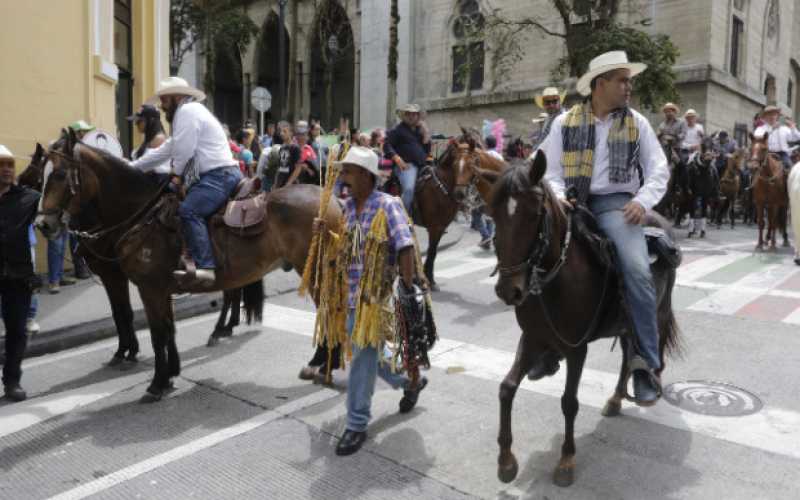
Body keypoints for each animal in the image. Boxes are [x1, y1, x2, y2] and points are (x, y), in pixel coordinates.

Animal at [36, 130, 342, 402]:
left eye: (59, 174)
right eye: (40, 174)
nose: (43, 224)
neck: (142, 218)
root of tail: (333, 201)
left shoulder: (147, 287)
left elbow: (156, 333)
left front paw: (156, 383)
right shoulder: (160, 289)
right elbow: (167, 328)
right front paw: (170, 374)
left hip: (314, 271)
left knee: (328, 311)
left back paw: (319, 362)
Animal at [484, 153, 680, 488]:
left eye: (534, 214)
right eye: (494, 213)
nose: (509, 290)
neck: (556, 279)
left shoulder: (577, 349)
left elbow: (569, 402)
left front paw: (566, 461)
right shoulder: (532, 338)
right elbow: (506, 388)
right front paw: (506, 461)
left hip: (657, 311)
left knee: (650, 351)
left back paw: (645, 386)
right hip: (624, 323)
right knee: (627, 353)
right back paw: (615, 399)